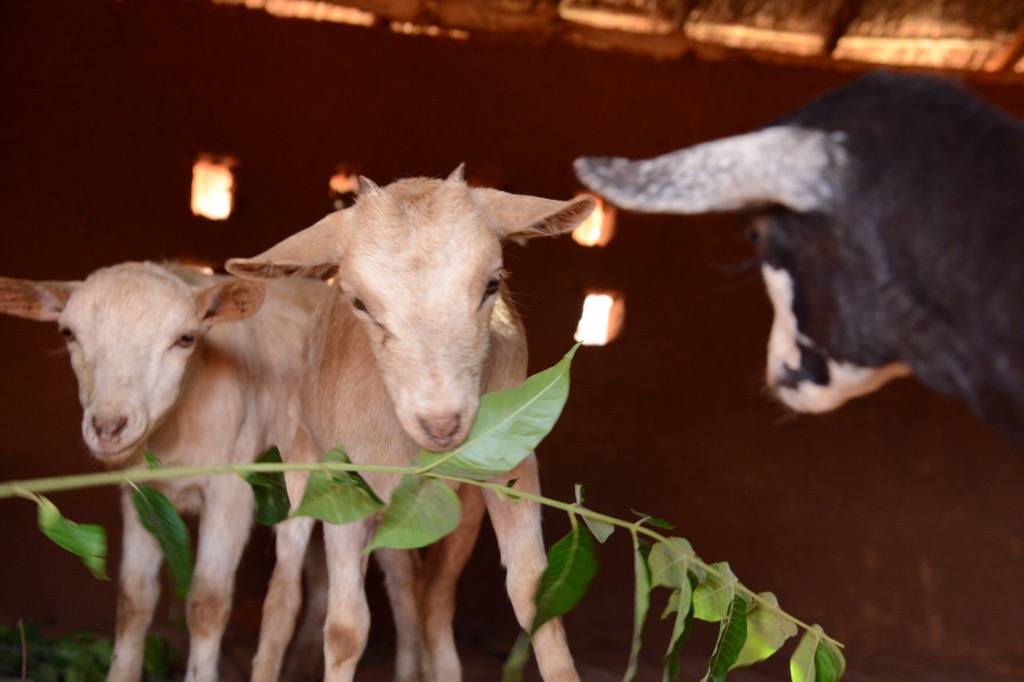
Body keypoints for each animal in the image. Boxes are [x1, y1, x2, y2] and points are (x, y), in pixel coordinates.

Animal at [0, 262, 337, 682]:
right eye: (69, 334)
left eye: (186, 339)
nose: (108, 426)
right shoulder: (141, 493)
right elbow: (134, 599)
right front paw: (120, 672)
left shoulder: (232, 489)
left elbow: (207, 603)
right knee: (318, 583)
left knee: (285, 597)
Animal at [226, 165, 595, 682]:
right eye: (358, 302)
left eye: (492, 284)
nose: (442, 424)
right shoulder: (345, 484)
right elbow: (345, 630)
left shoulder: (510, 472)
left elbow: (533, 601)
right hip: (304, 464)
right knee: (284, 595)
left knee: (422, 594)